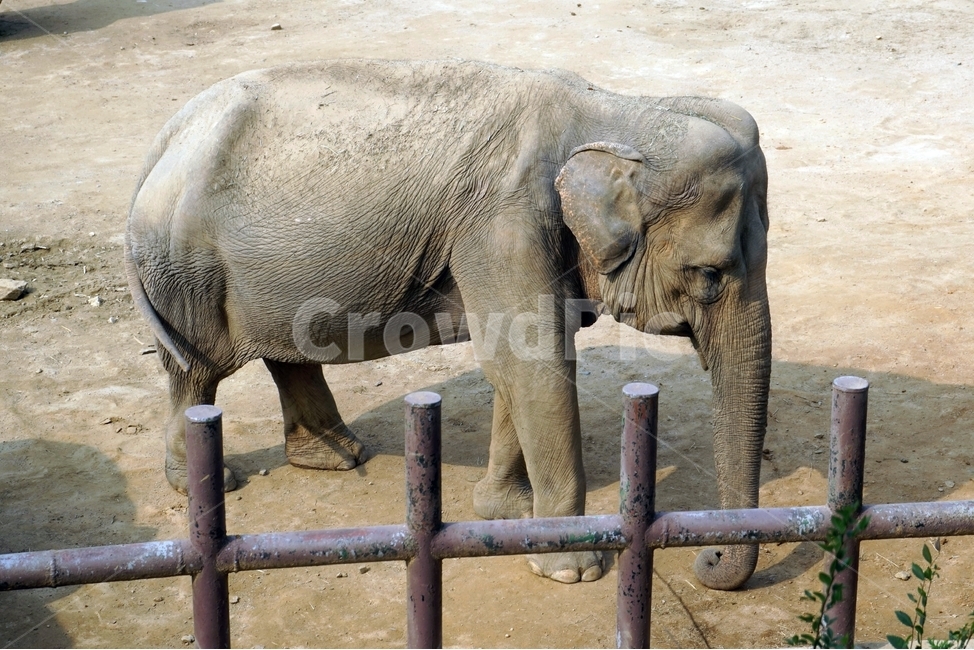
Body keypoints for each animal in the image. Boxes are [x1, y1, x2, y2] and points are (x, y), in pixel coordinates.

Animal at [125, 59, 771, 589]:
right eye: (709, 274)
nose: (708, 559)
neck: (618, 110)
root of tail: (167, 137)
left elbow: (517, 360)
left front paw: (506, 513)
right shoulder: (504, 223)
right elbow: (535, 362)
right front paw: (571, 568)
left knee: (284, 351)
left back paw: (336, 455)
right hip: (187, 269)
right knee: (198, 371)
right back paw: (208, 479)